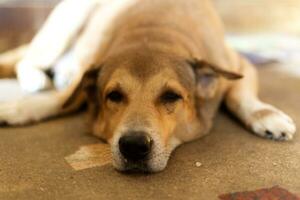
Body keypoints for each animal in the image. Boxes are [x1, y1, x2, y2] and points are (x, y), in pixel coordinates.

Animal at [0, 0, 296, 172]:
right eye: (114, 95)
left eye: (171, 96)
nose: (134, 145)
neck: (153, 35)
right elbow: (61, 99)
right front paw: (18, 109)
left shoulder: (238, 63)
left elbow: (239, 93)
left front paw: (267, 116)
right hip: (64, 26)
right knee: (26, 60)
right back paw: (35, 79)